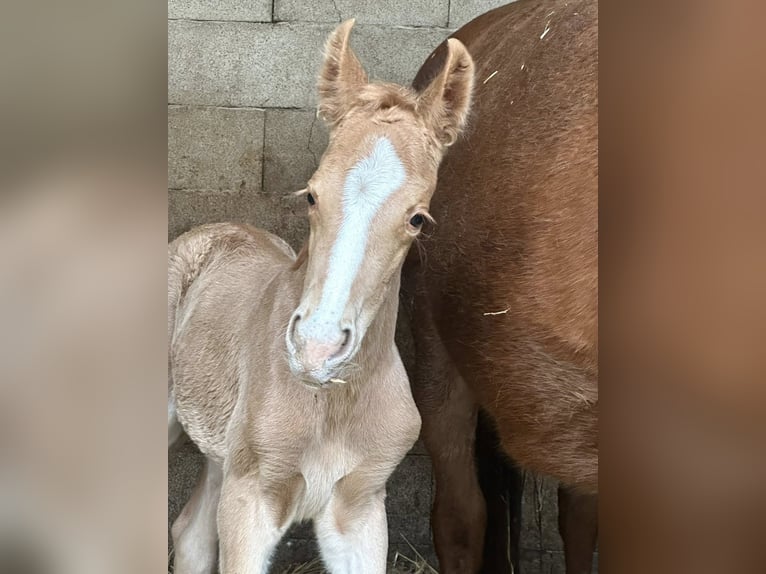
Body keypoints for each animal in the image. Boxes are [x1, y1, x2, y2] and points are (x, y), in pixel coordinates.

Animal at [167, 20, 476, 574]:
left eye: (418, 218)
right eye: (312, 194)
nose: (316, 349)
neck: (331, 403)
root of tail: (215, 227)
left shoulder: (359, 508)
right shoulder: (251, 500)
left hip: (220, 449)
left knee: (191, 535)